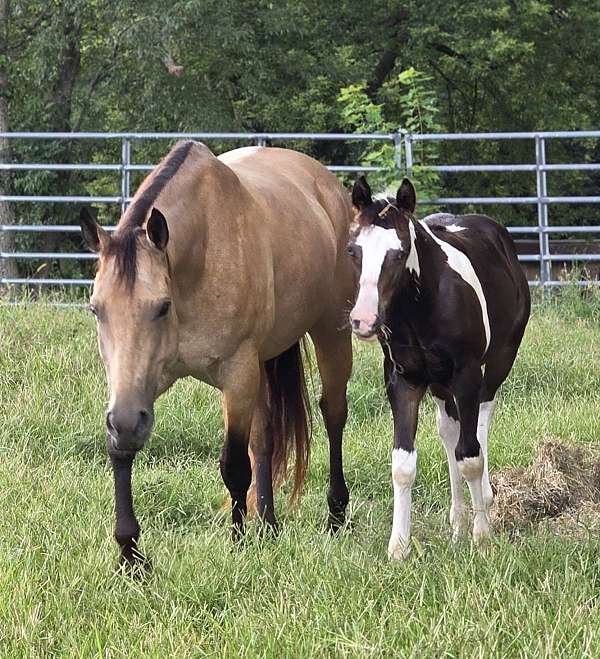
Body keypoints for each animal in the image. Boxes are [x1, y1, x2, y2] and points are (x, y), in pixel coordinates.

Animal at [79, 141, 355, 567]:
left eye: (161, 307)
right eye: (97, 309)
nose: (125, 422)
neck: (200, 254)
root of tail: (328, 188)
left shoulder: (237, 373)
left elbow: (235, 465)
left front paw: (237, 543)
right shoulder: (136, 386)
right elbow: (121, 449)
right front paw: (129, 553)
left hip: (330, 333)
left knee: (333, 413)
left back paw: (336, 515)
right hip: (263, 362)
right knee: (266, 436)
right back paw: (270, 526)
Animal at [347, 175, 530, 559]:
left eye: (399, 253)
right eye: (353, 250)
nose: (363, 321)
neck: (423, 307)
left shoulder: (466, 375)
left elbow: (471, 456)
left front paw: (482, 538)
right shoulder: (403, 380)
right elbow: (403, 464)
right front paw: (398, 548)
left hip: (496, 365)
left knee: (481, 422)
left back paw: (482, 506)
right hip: (439, 385)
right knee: (449, 431)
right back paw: (457, 521)